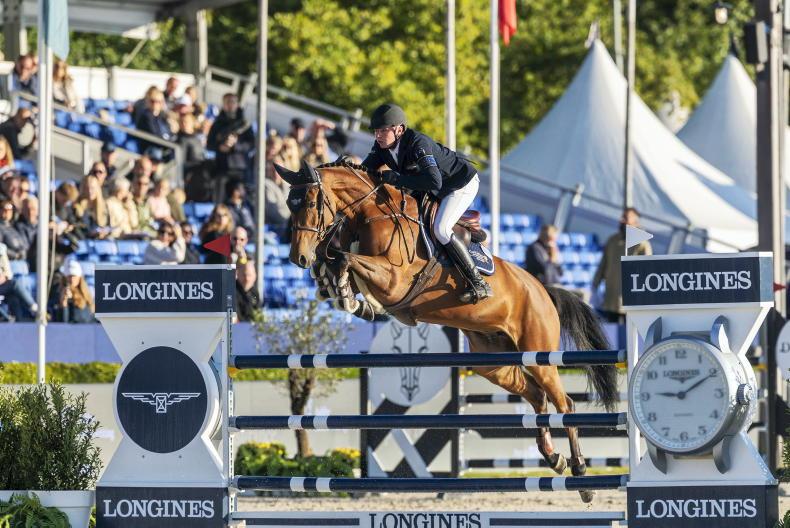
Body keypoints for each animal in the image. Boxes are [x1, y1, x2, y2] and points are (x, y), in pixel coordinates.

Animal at [274, 161, 619, 503]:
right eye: (289, 205)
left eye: (311, 203)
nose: (297, 257)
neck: (371, 213)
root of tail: (542, 289)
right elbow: (336, 266)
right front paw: (344, 293)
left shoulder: (395, 281)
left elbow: (346, 259)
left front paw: (348, 293)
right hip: (495, 363)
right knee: (536, 396)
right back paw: (553, 458)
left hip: (539, 355)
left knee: (565, 405)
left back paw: (582, 477)